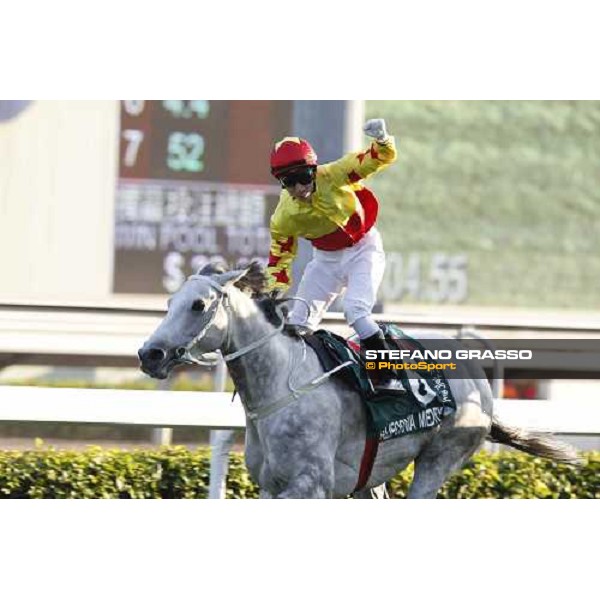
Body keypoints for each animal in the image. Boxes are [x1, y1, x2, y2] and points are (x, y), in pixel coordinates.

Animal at [138, 264, 580, 500]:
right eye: (169, 303)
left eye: (198, 305)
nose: (149, 354)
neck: (279, 388)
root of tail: (479, 382)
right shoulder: (271, 485)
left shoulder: (310, 486)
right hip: (372, 477)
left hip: (441, 456)